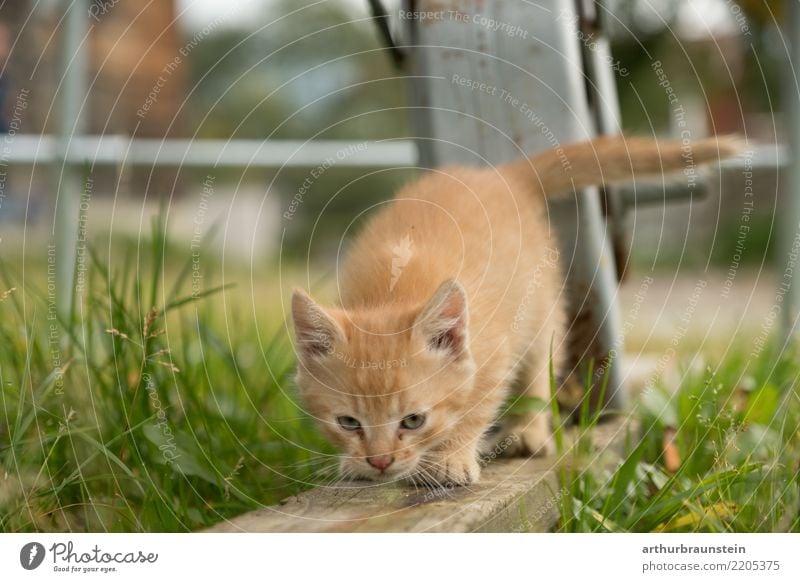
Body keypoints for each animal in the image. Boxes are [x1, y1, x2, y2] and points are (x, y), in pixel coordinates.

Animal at [290, 137, 740, 488]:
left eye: (413, 420)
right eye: (349, 423)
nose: (380, 461)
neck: (393, 291)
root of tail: (502, 177)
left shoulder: (494, 352)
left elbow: (478, 406)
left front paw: (450, 458)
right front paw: (353, 463)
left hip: (543, 307)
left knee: (540, 370)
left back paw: (527, 431)